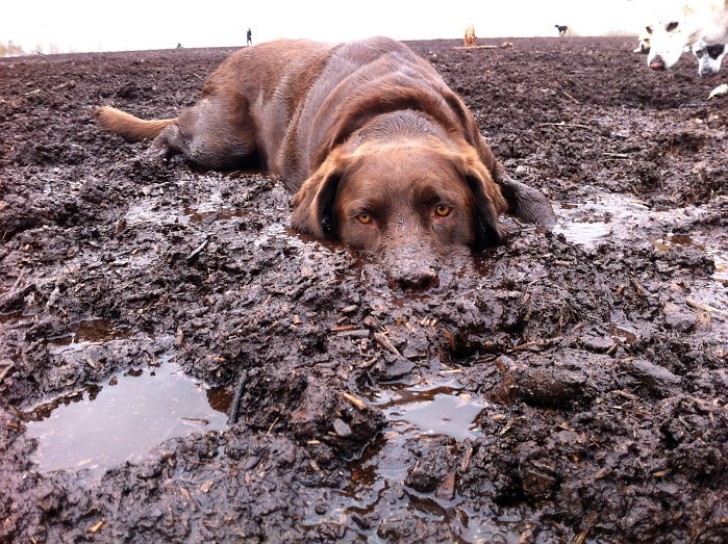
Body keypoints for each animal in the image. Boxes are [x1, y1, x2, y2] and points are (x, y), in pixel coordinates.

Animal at [94, 36, 556, 286]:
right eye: (363, 217)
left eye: (444, 209)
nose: (412, 280)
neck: (396, 115)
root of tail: (226, 59)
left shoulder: (486, 161)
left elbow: (534, 199)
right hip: (220, 141)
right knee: (174, 129)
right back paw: (152, 156)